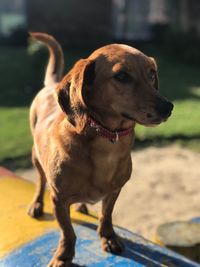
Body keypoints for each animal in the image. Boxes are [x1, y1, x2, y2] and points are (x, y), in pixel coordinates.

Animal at [27, 32, 173, 266]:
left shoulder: (114, 191)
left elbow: (106, 216)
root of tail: (51, 85)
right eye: (121, 76)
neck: (107, 139)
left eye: (152, 74)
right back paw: (37, 204)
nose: (168, 107)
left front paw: (108, 237)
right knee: (40, 182)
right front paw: (63, 255)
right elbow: (68, 232)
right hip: (36, 158)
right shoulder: (59, 199)